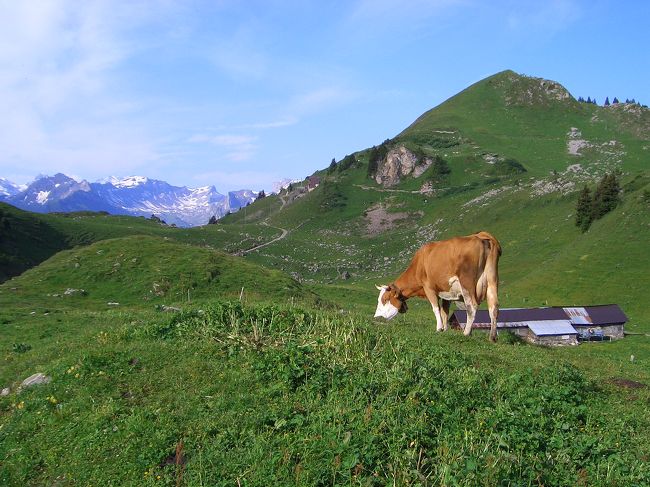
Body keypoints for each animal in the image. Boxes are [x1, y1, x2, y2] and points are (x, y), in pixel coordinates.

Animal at [370, 233, 502, 344]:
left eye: (385, 299)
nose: (376, 317)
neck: (419, 264)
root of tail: (481, 236)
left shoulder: (428, 287)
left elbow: (436, 308)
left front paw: (439, 328)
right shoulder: (447, 293)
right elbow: (445, 311)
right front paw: (445, 329)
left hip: (467, 283)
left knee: (472, 306)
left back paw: (466, 333)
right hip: (492, 281)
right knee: (494, 307)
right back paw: (492, 337)